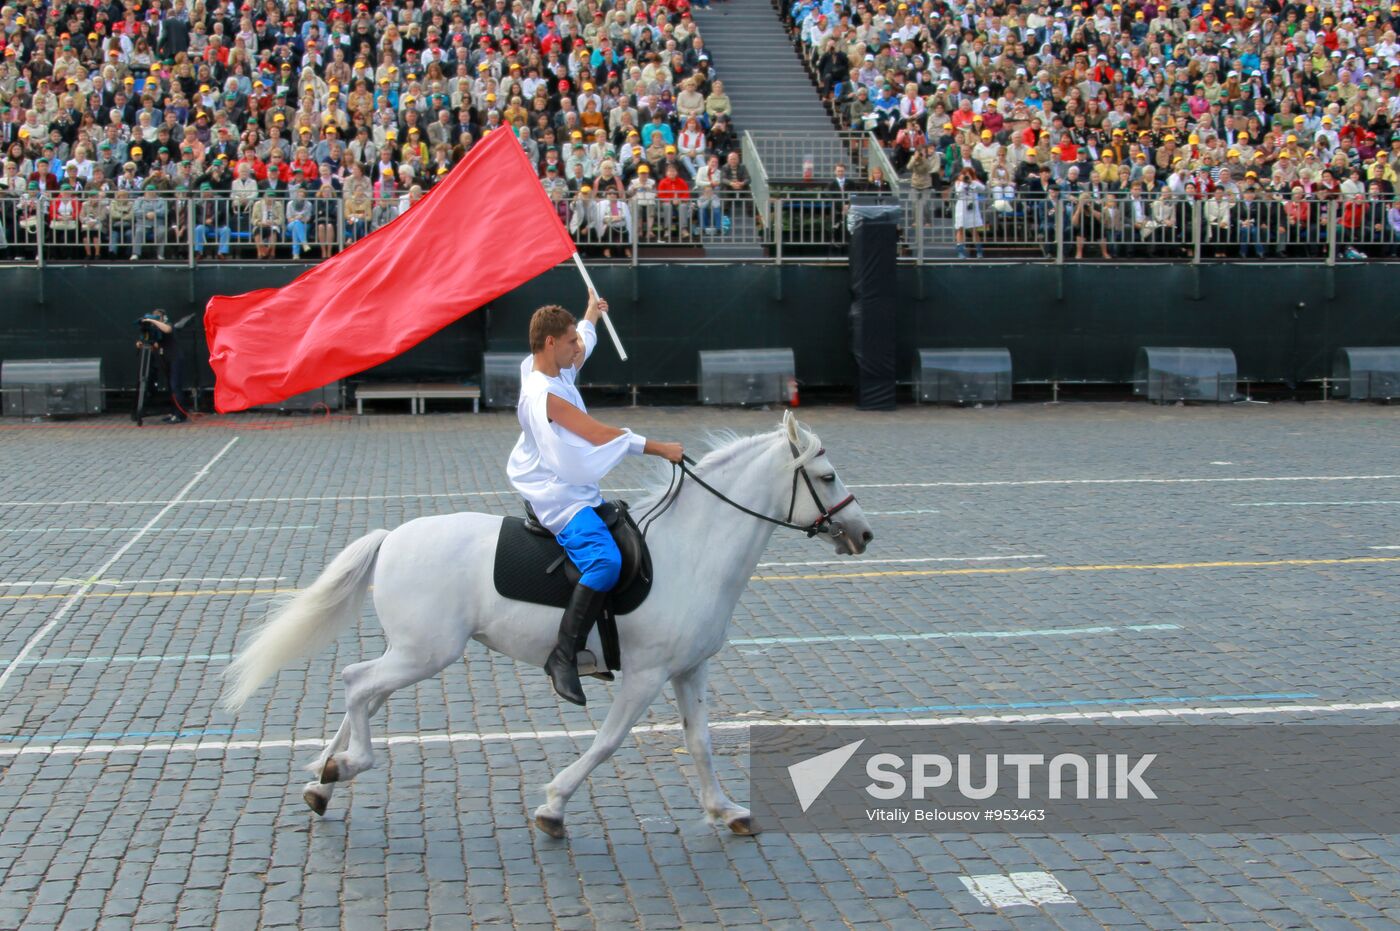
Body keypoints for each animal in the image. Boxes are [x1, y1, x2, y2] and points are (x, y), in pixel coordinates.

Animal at [222, 411, 868, 834]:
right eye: (827, 476)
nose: (862, 534)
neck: (693, 550)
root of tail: (392, 538)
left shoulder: (689, 671)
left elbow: (701, 742)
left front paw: (726, 810)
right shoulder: (645, 676)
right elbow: (608, 742)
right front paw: (554, 804)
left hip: (410, 652)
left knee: (366, 695)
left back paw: (323, 778)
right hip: (426, 653)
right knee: (357, 684)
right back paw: (347, 764)